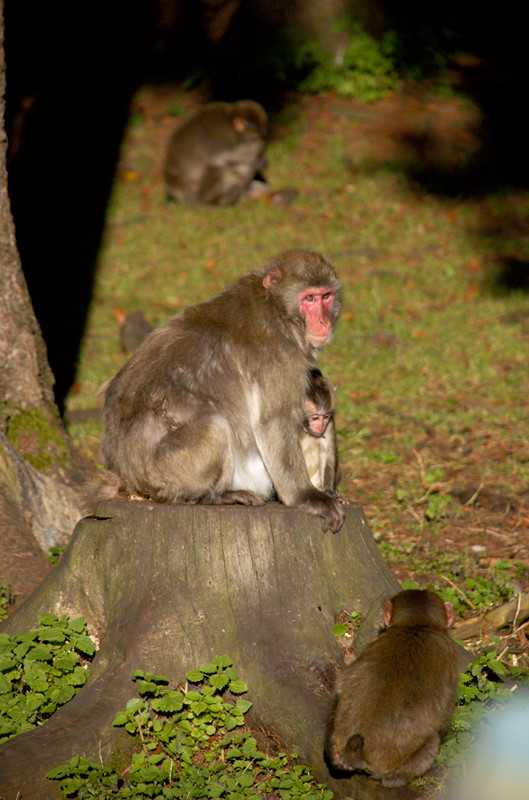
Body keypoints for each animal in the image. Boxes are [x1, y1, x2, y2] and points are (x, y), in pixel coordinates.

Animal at [100, 250, 345, 532]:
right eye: (309, 298)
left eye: (325, 296)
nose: (323, 321)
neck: (277, 309)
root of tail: (122, 469)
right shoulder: (278, 357)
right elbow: (273, 421)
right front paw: (306, 497)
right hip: (164, 472)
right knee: (215, 426)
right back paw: (213, 496)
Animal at [325, 589, 459, 786]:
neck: (415, 626)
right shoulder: (450, 661)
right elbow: (444, 718)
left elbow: (340, 686)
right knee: (432, 740)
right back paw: (396, 779)